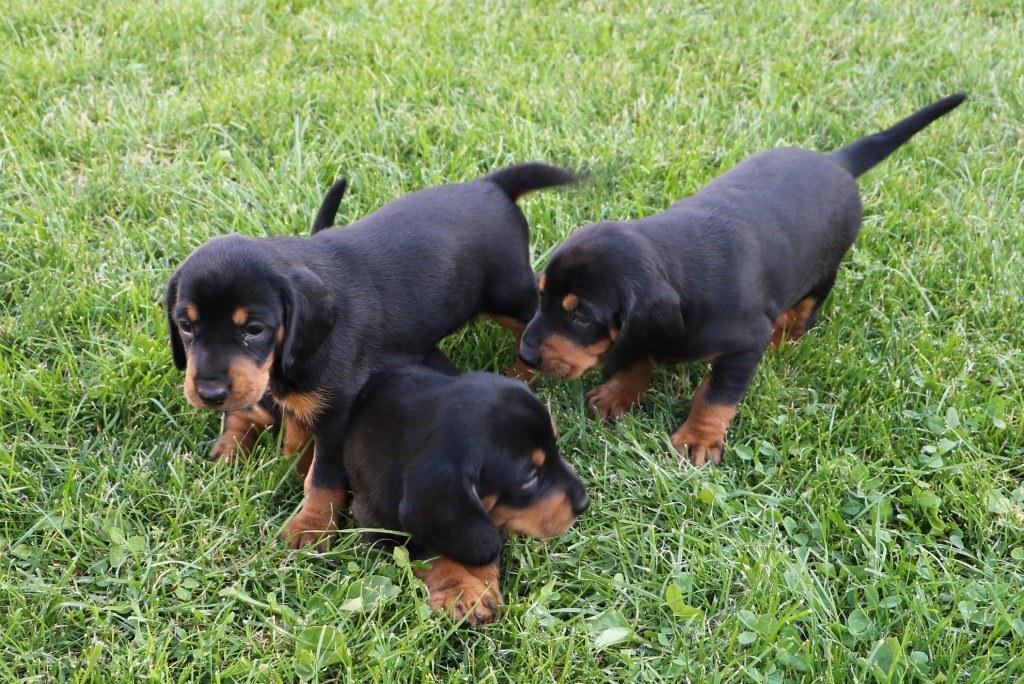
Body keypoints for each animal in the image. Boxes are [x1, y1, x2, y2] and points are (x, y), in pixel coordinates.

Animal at [165, 163, 576, 547]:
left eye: (254, 329)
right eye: (185, 325)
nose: (210, 394)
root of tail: (491, 185)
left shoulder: (337, 415)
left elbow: (323, 476)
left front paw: (310, 526)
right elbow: (295, 432)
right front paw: (291, 459)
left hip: (508, 293)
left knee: (532, 327)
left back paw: (528, 368)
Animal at [342, 350, 588, 625]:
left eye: (556, 448)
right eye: (529, 478)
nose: (584, 503)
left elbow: (484, 548)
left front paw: (481, 589)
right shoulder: (376, 524)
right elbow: (430, 554)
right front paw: (462, 591)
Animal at [518, 94, 966, 465]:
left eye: (580, 317)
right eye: (540, 297)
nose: (524, 355)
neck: (676, 266)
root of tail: (837, 162)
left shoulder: (743, 346)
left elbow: (717, 396)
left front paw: (699, 438)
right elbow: (636, 355)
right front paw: (618, 392)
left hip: (823, 273)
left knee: (807, 310)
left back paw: (785, 335)